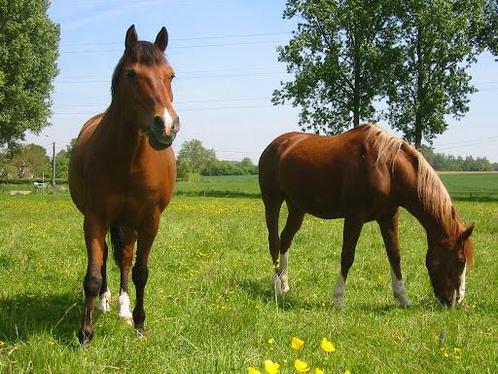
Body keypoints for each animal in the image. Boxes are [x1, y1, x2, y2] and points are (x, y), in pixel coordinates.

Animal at [68, 24, 179, 344]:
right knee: (107, 258)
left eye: (171, 75)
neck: (129, 162)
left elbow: (140, 271)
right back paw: (106, 302)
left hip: (129, 225)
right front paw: (85, 333)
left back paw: (124, 309)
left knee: (126, 259)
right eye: (131, 74)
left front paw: (140, 323)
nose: (166, 125)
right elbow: (93, 276)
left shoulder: (150, 220)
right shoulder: (95, 218)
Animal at [260, 124, 474, 308]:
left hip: (297, 208)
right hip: (272, 202)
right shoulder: (354, 217)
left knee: (285, 240)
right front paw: (339, 299)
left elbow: (394, 255)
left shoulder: (388, 217)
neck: (387, 168)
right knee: (274, 242)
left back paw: (284, 284)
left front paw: (403, 298)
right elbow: (347, 256)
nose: (457, 301)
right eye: (460, 261)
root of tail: (275, 145)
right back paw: (277, 288)